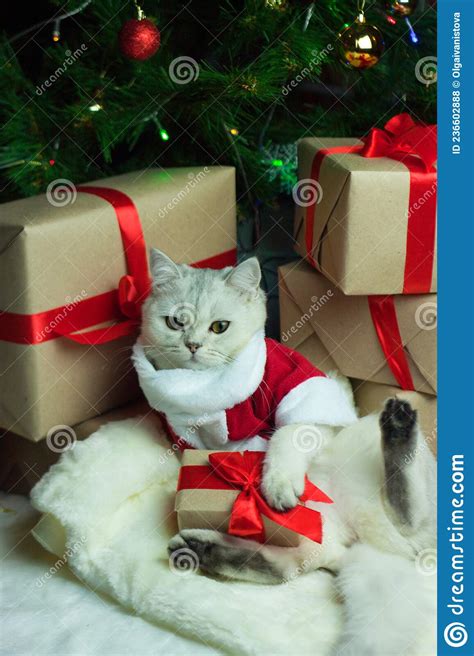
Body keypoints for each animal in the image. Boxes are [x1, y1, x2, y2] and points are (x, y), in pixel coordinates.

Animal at [131, 249, 436, 652]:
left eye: (219, 327)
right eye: (175, 322)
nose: (192, 345)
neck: (205, 390)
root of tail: (369, 545)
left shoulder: (303, 398)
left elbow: (284, 435)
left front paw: (276, 483)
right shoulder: (184, 435)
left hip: (377, 463)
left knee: (410, 517)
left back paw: (400, 428)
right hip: (315, 544)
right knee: (285, 567)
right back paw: (197, 550)